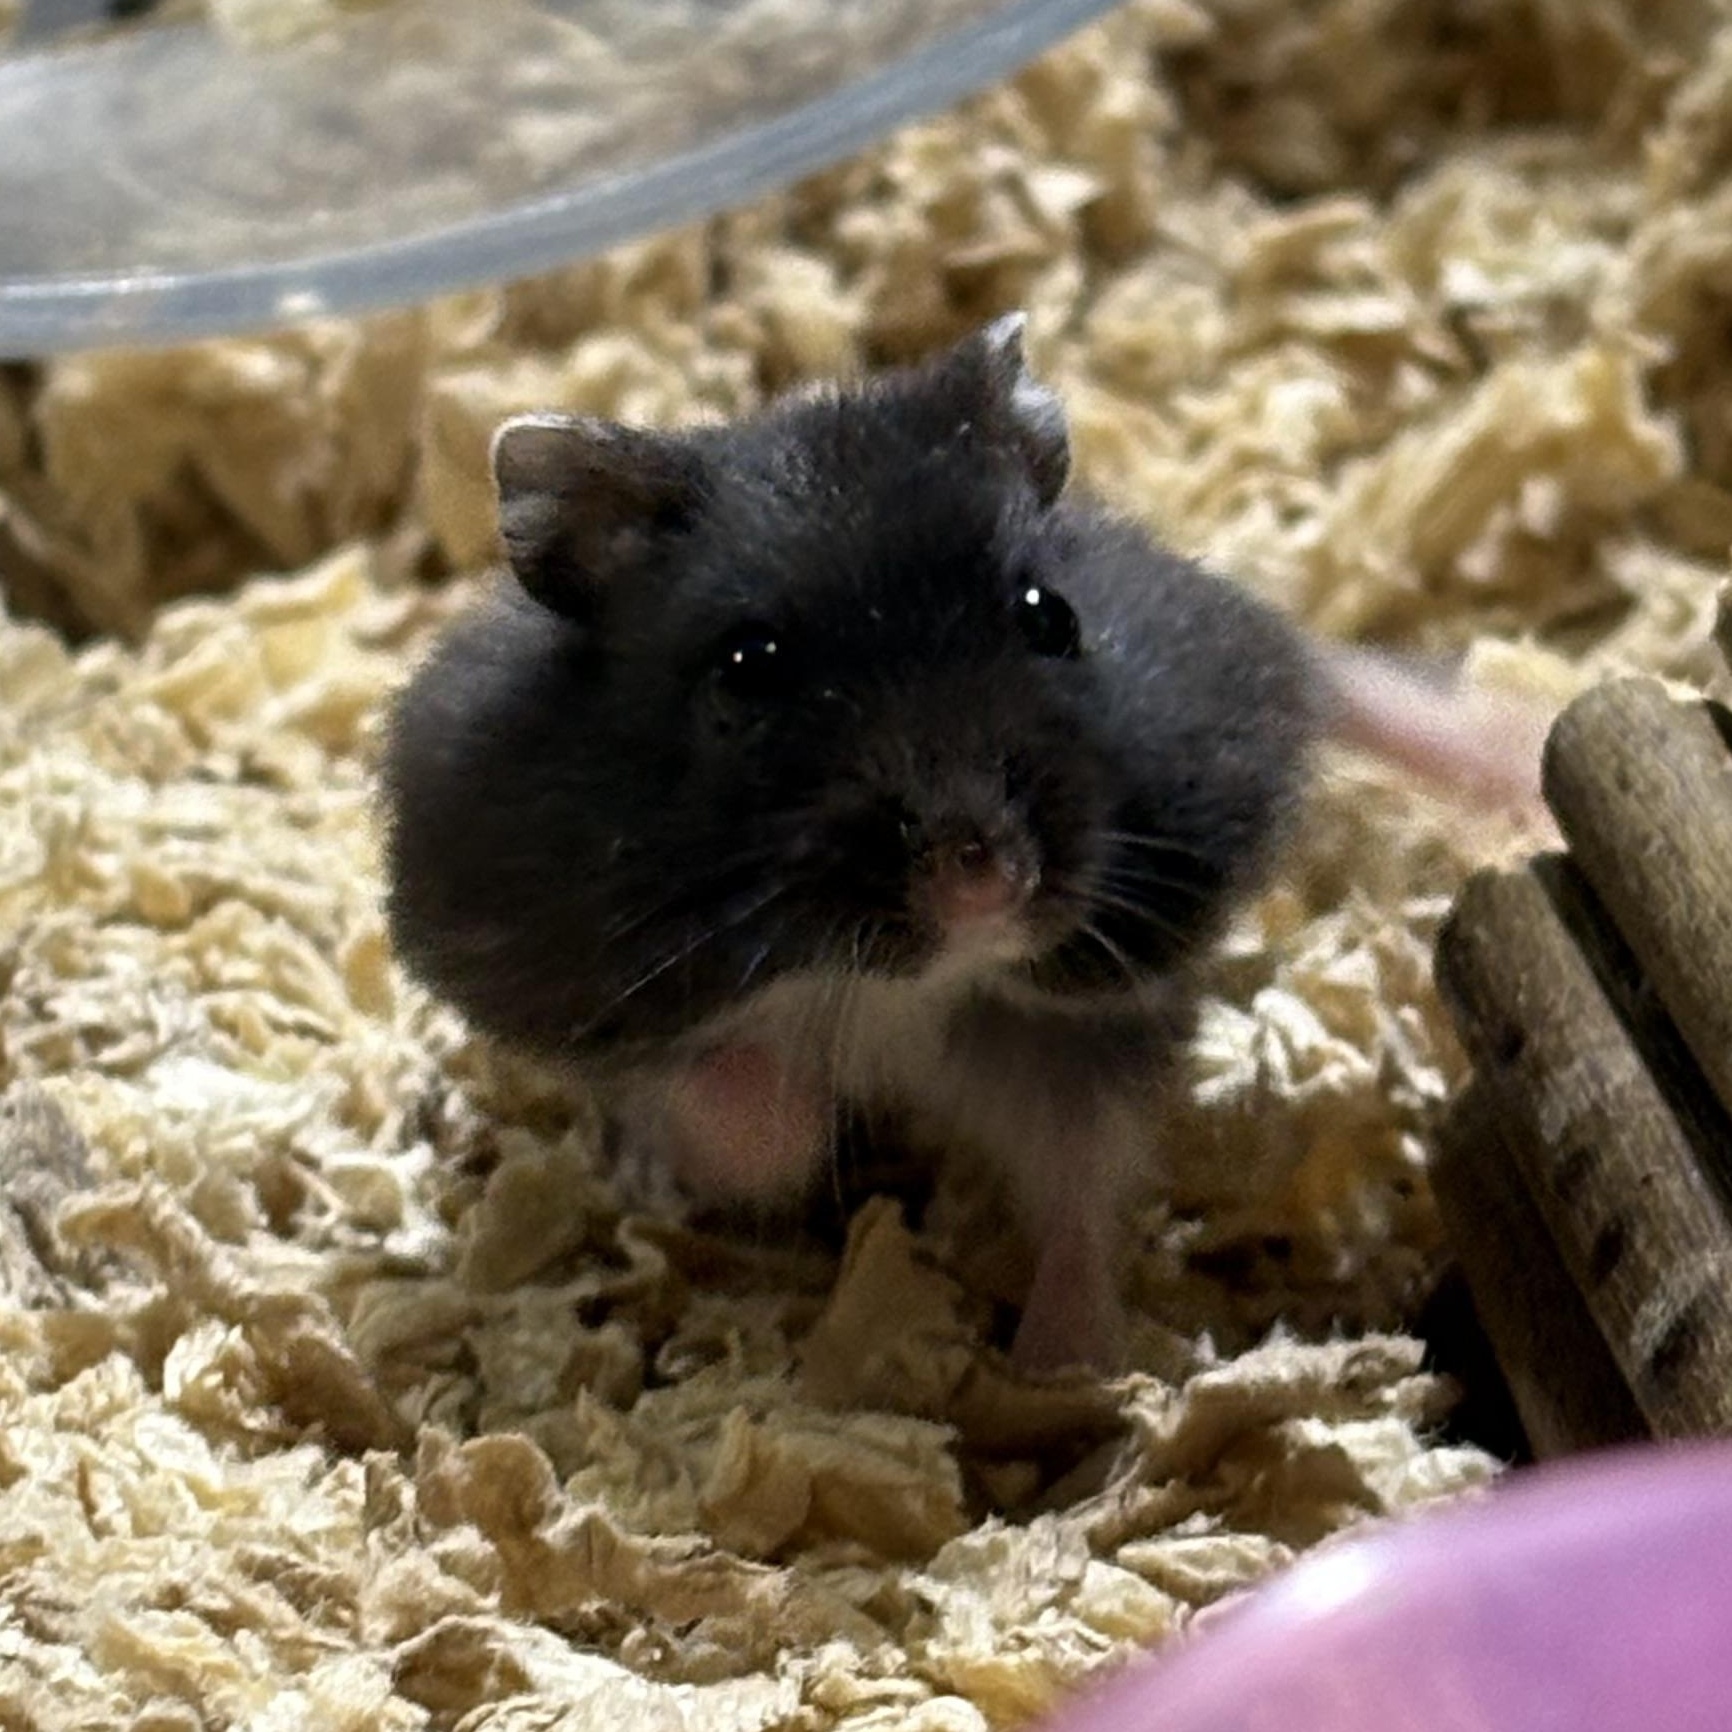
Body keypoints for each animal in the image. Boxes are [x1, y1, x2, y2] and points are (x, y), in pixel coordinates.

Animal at [379, 315, 1546, 1376]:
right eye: (748, 666)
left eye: (1050, 616)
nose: (983, 883)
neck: (884, 981)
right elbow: (736, 1108)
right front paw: (776, 1124)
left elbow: (1081, 1165)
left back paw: (1058, 1371)